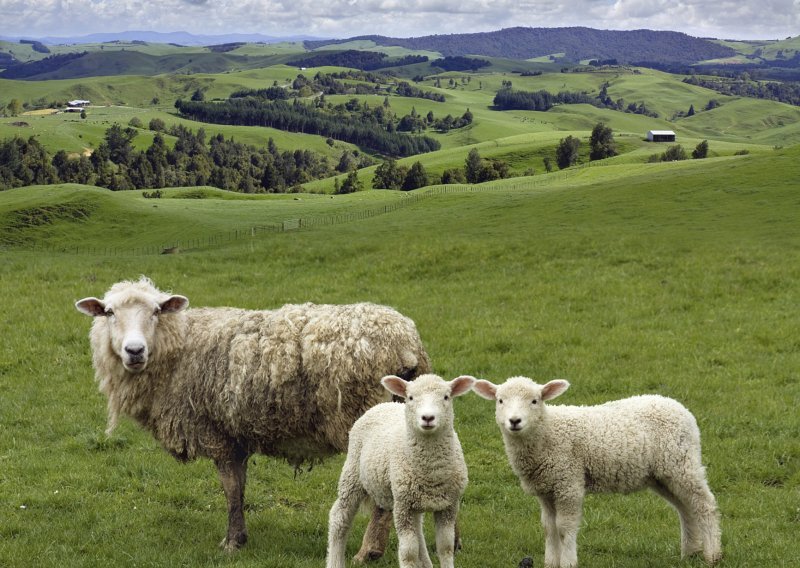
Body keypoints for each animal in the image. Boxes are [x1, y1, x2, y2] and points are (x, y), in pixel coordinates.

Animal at [76, 276, 434, 556]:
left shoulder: (215, 433)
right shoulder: (236, 434)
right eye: (109, 312)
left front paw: (232, 542)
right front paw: (240, 536)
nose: (134, 351)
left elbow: (230, 489)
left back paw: (368, 550)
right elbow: (240, 487)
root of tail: (406, 344)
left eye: (155, 311)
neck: (178, 348)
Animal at [324, 372, 476, 568]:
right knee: (339, 517)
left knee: (418, 529)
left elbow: (445, 547)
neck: (431, 472)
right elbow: (408, 552)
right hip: (353, 474)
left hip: (411, 497)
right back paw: (335, 561)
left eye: (446, 397)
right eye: (410, 397)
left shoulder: (448, 505)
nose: (428, 418)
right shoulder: (403, 507)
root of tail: (385, 405)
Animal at [472, 374, 720, 564]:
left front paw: (568, 562)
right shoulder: (546, 488)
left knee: (704, 504)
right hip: (662, 474)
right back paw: (690, 552)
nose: (515, 421)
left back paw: (712, 554)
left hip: (682, 462)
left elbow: (564, 527)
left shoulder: (568, 482)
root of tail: (678, 407)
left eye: (534, 401)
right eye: (500, 400)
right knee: (685, 508)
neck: (548, 432)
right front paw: (551, 562)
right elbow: (549, 528)